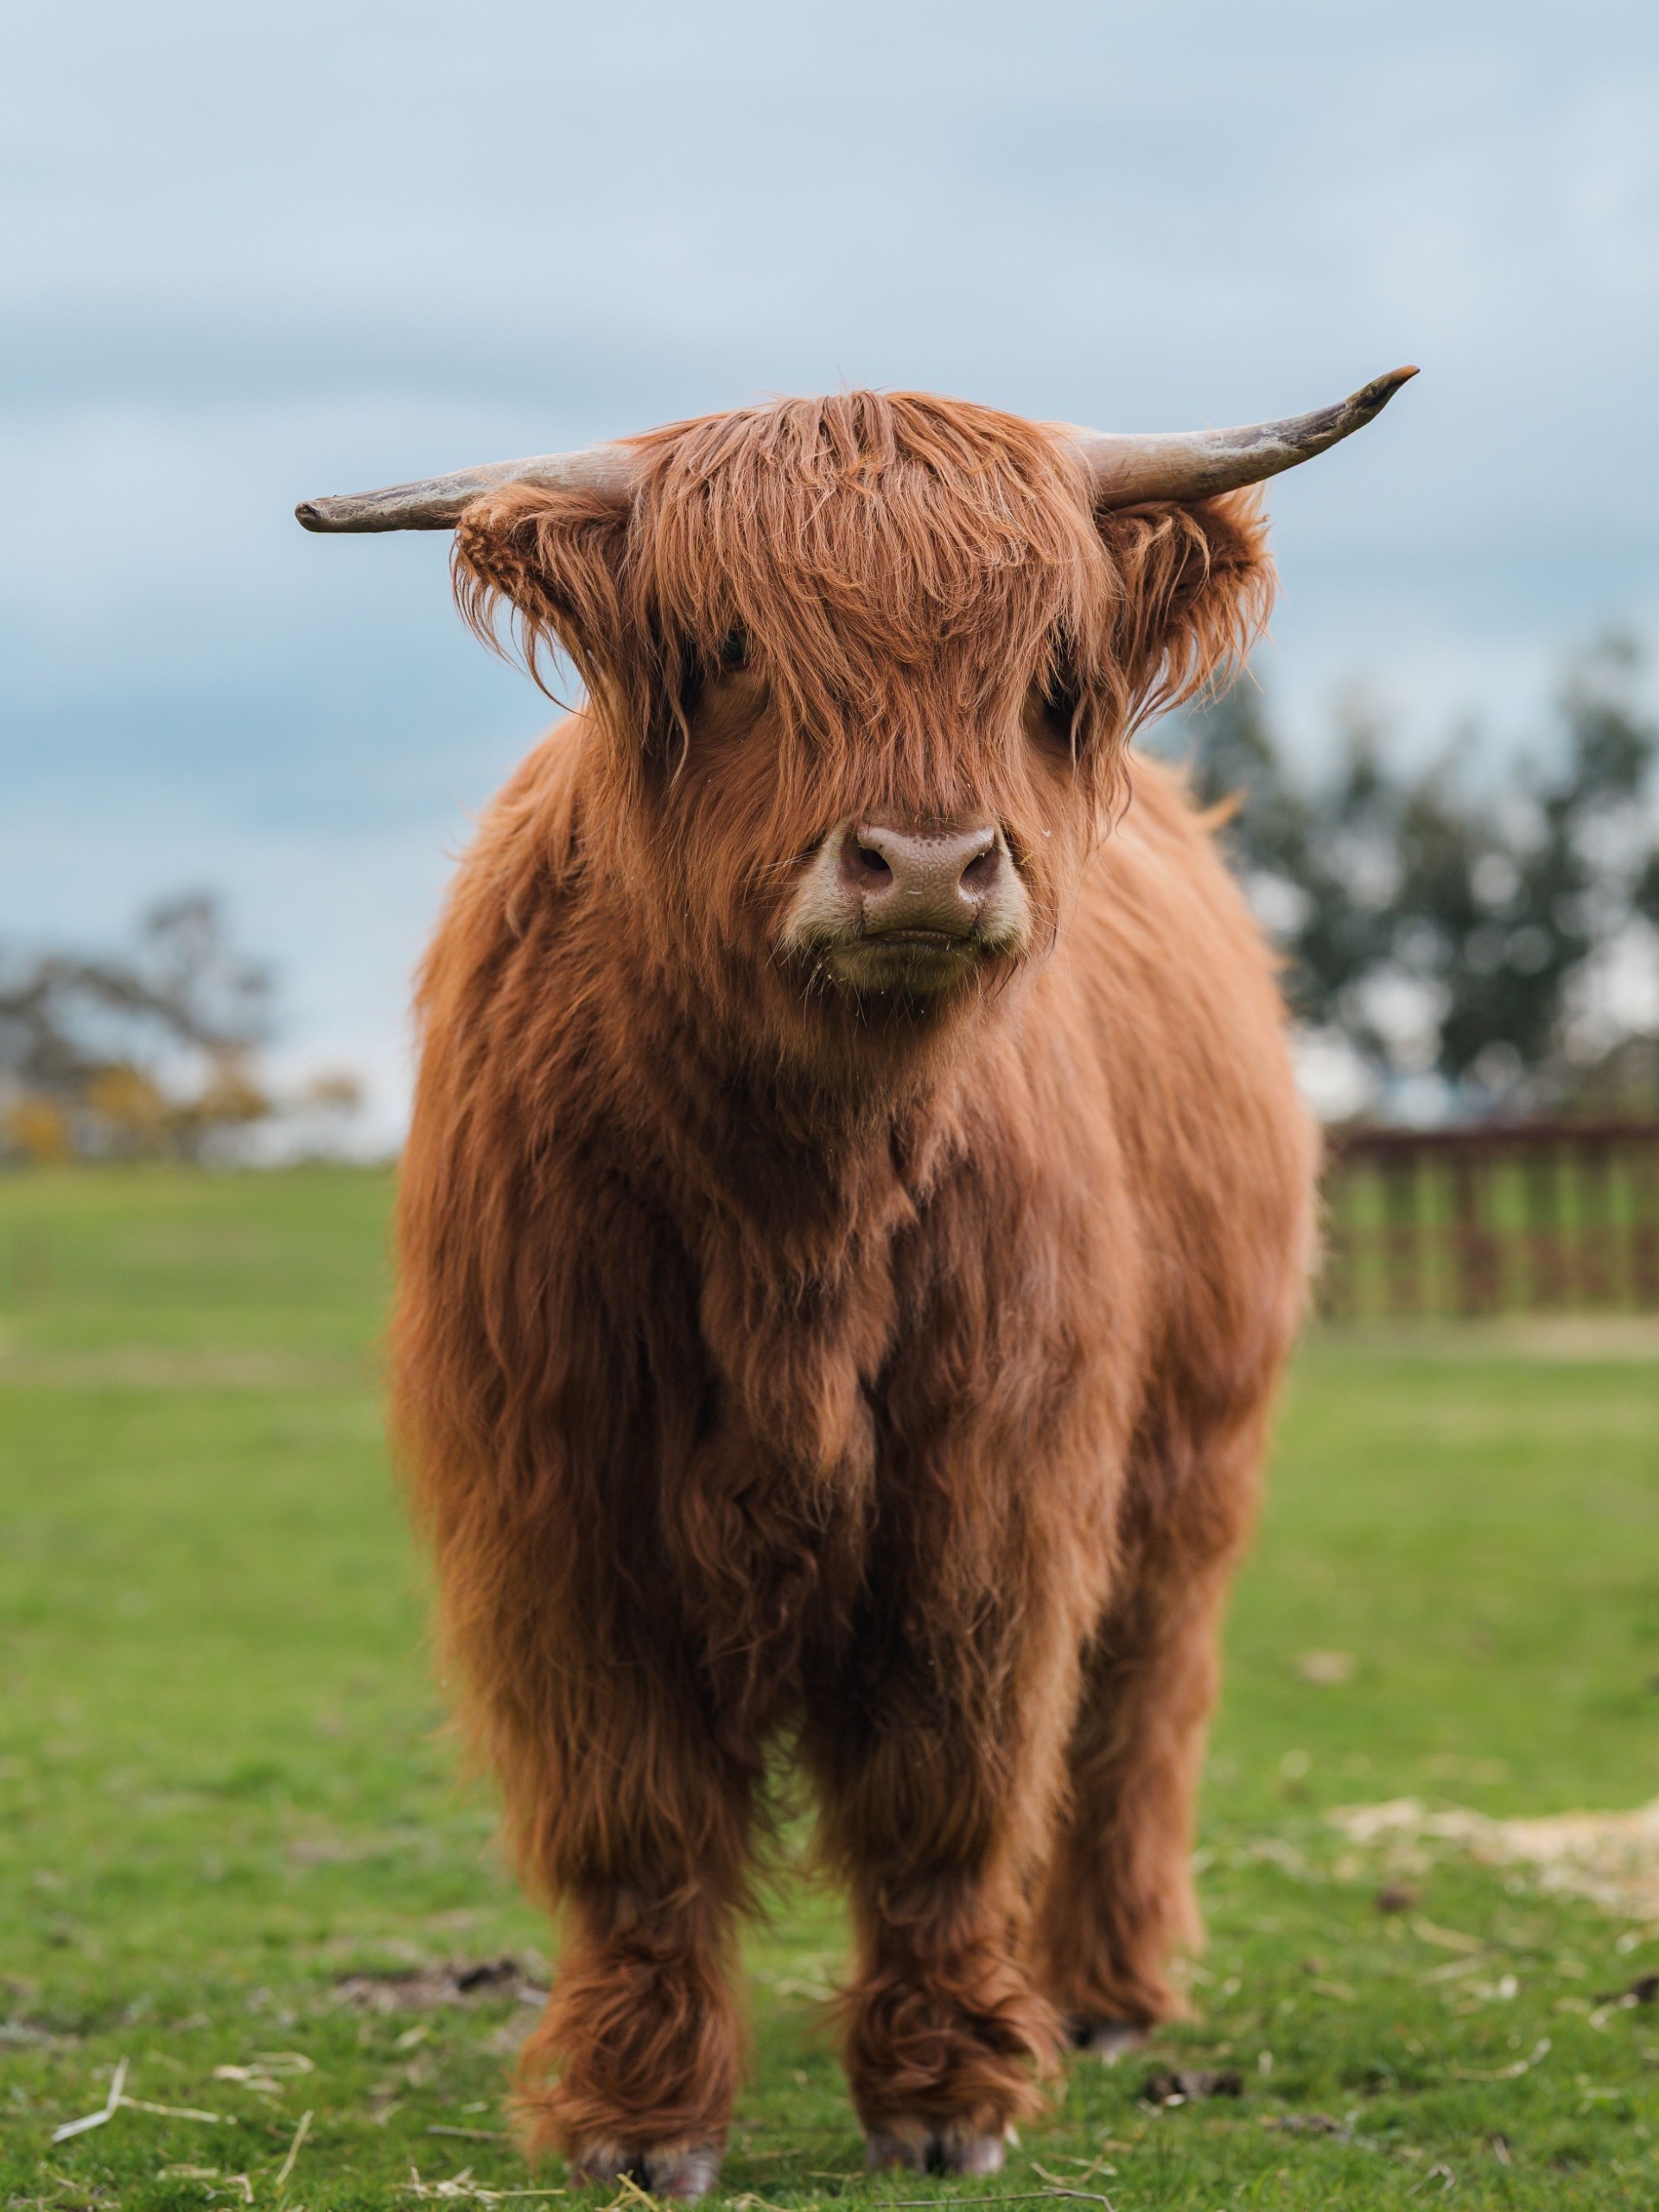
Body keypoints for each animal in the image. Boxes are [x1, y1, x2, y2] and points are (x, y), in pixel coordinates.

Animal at [298, 368, 1413, 2197]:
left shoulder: (988, 1499)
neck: (796, 1211)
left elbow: (942, 1799)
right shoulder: (560, 1512)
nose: (932, 867)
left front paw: (946, 2097)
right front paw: (638, 2121)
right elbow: (637, 1824)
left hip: (1192, 1458)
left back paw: (1104, 1994)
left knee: (1133, 1716)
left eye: (1046, 671)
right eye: (732, 649)